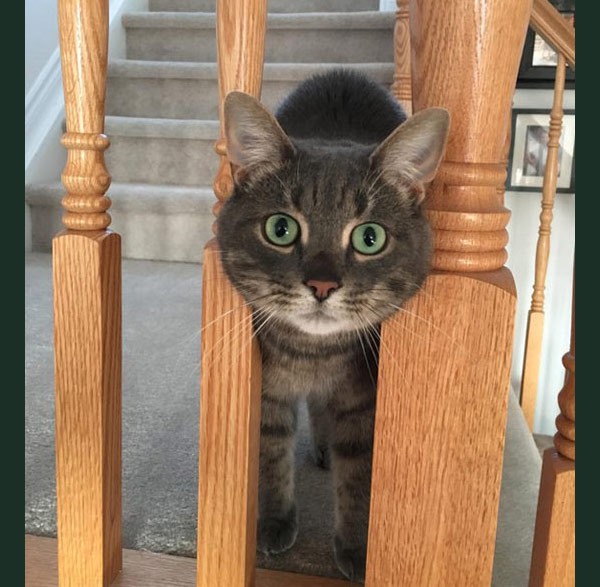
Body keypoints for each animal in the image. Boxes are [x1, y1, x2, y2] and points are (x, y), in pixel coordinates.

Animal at [214, 70, 446, 584]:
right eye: (280, 229)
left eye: (370, 237)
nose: (322, 285)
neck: (313, 357)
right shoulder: (268, 394)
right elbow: (271, 457)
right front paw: (275, 522)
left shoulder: (364, 403)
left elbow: (358, 478)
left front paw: (357, 549)